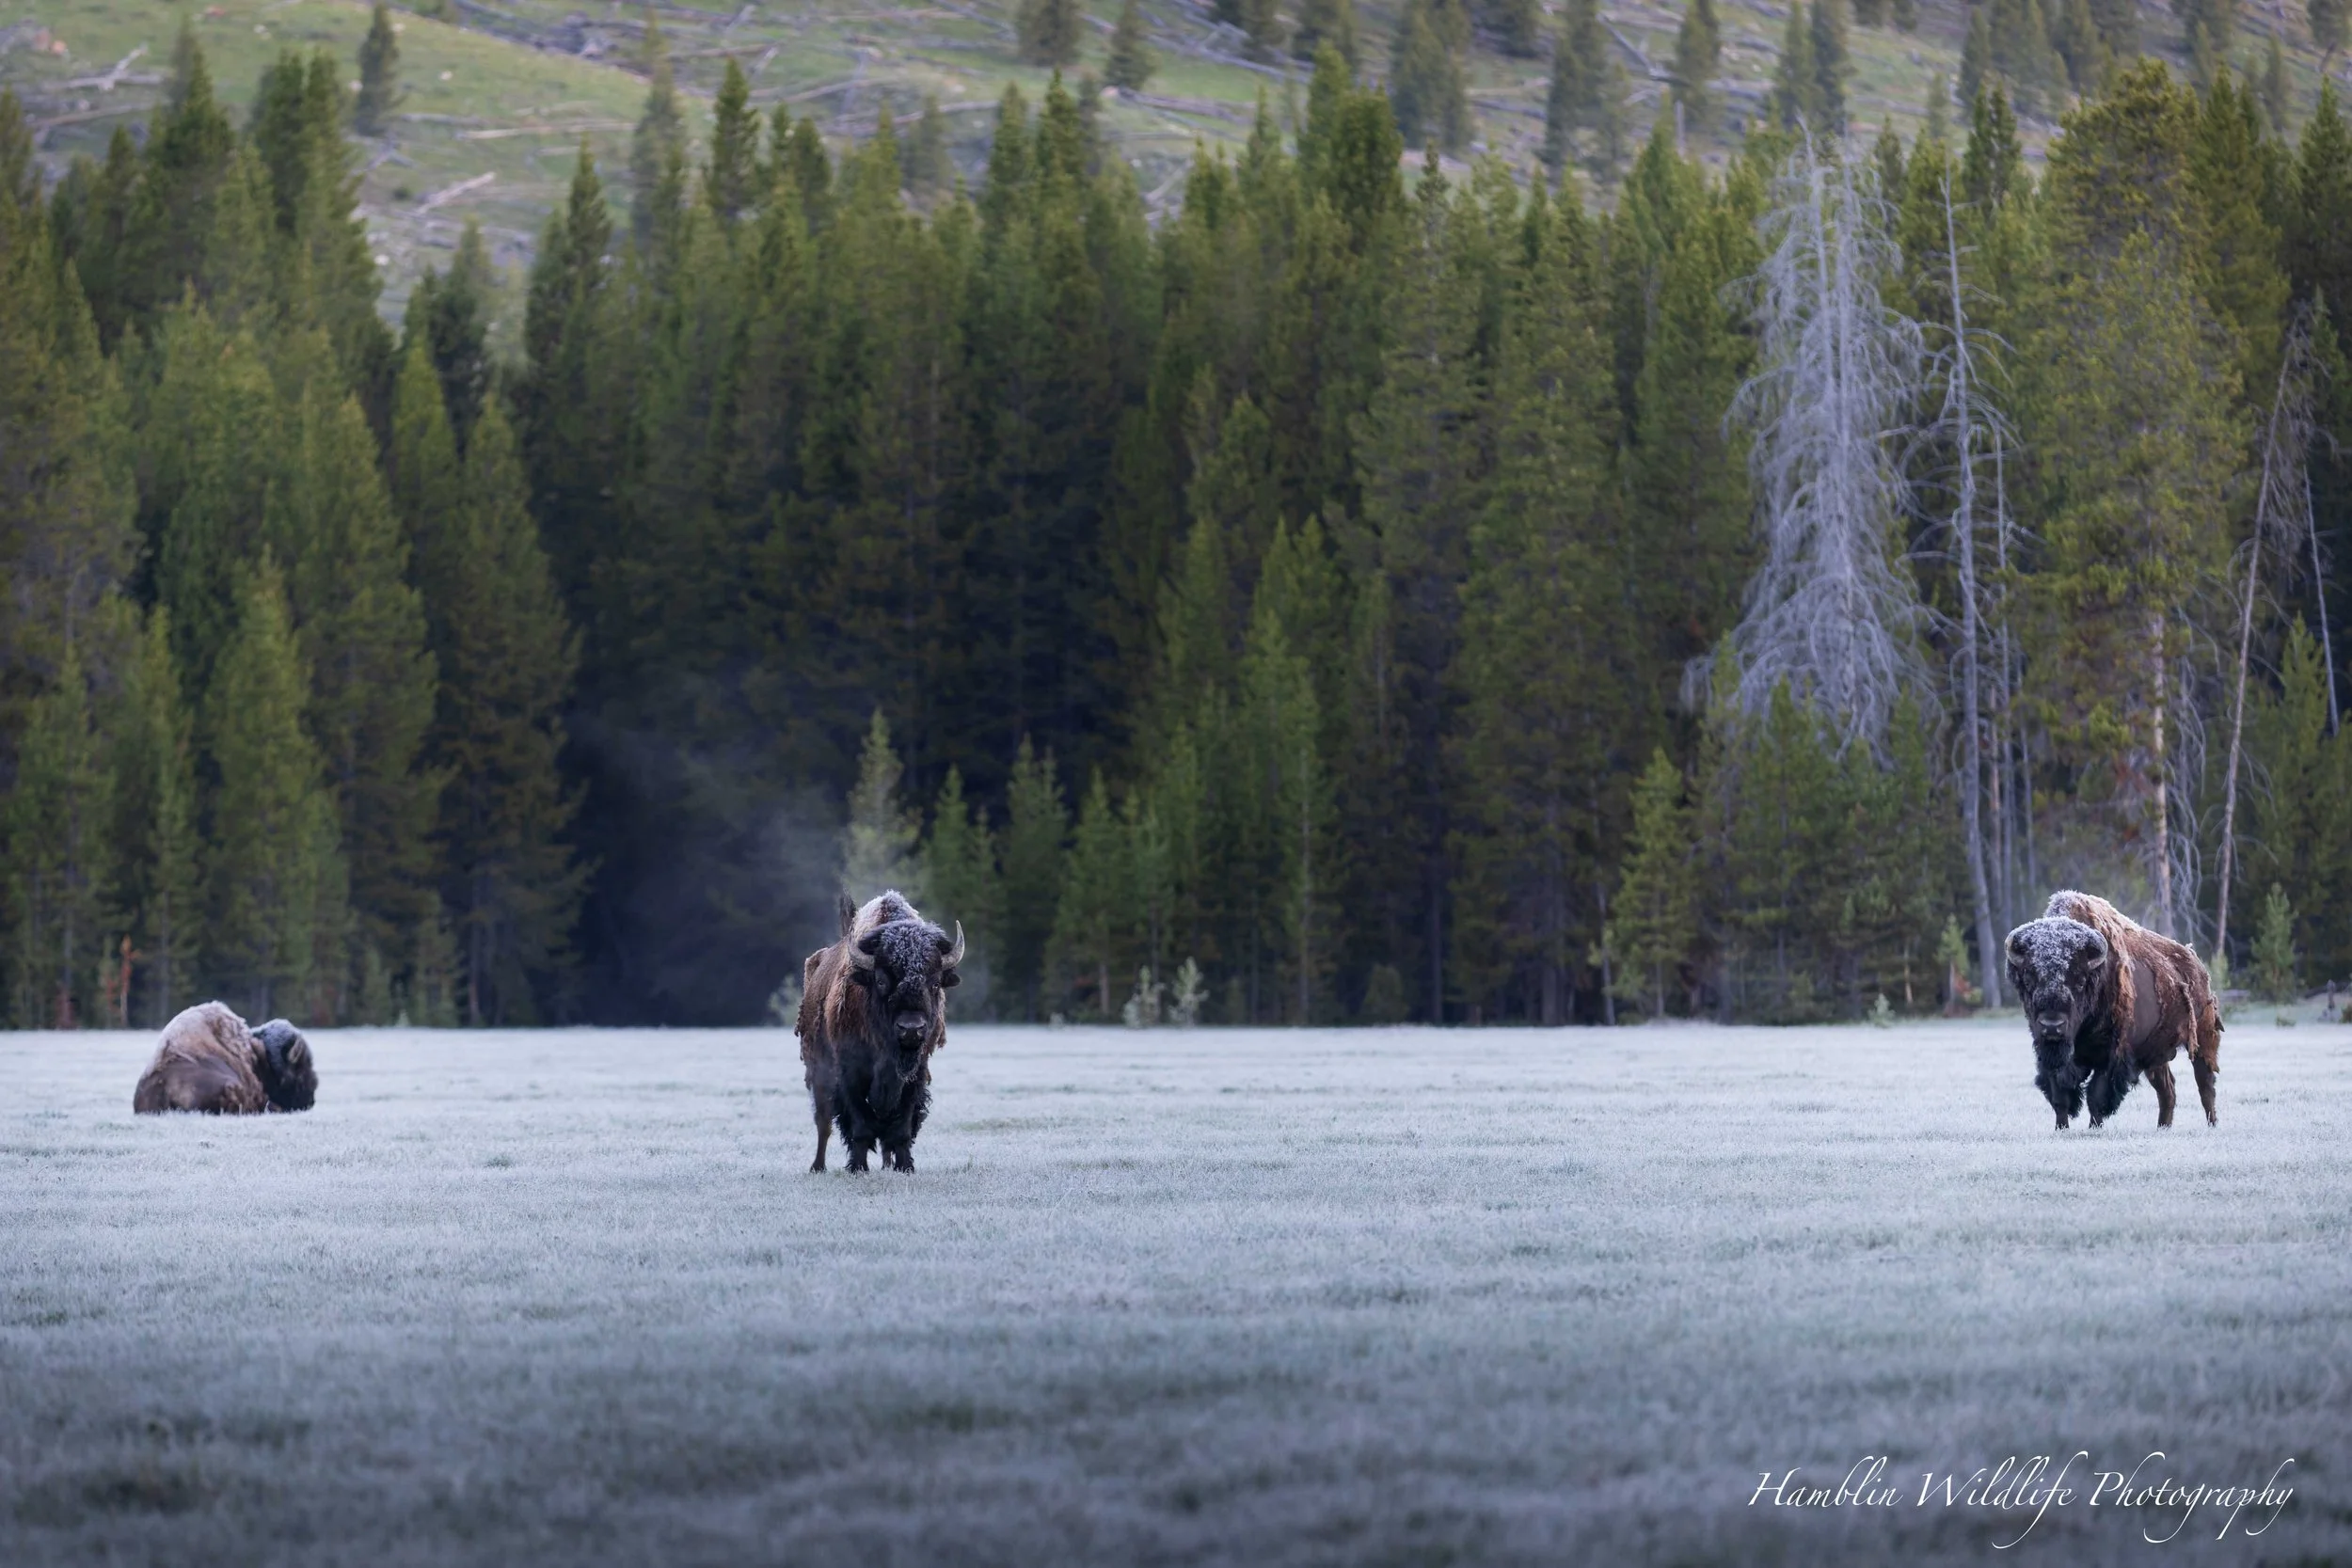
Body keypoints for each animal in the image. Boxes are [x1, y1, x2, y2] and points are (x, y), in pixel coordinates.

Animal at [796, 890, 963, 1172]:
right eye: (882, 981)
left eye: (935, 983)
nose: (911, 1029)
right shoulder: (851, 1071)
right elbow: (860, 1125)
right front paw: (858, 1167)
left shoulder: (915, 1075)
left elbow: (902, 1128)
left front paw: (905, 1167)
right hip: (817, 1067)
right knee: (824, 1121)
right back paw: (817, 1166)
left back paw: (886, 1164)